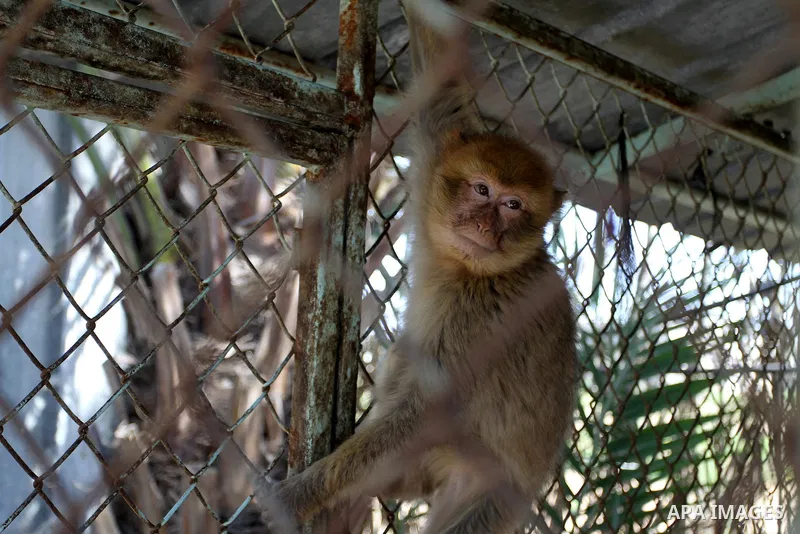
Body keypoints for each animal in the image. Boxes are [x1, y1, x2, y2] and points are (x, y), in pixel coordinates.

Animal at [262, 3, 578, 532]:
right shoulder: (438, 155)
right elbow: (442, 85)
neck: (470, 273)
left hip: (491, 499)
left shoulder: (484, 320)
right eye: (482, 190)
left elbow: (428, 411)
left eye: (513, 205)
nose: (487, 226)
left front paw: (303, 493)